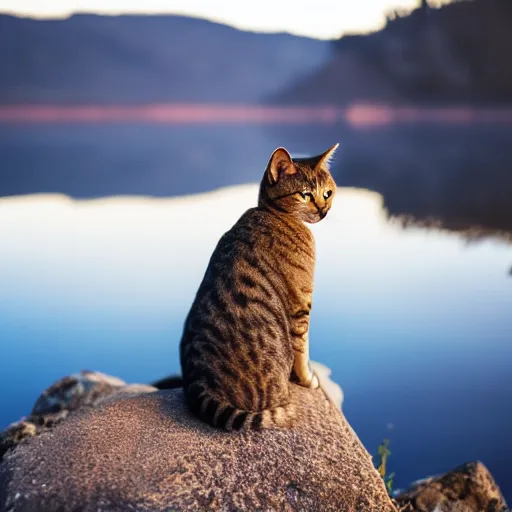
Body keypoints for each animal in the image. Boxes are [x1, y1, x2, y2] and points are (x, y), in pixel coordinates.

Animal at [178, 142, 338, 430]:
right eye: (305, 195)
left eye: (328, 193)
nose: (323, 210)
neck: (272, 213)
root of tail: (200, 387)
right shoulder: (301, 307)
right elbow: (302, 352)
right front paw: (307, 379)